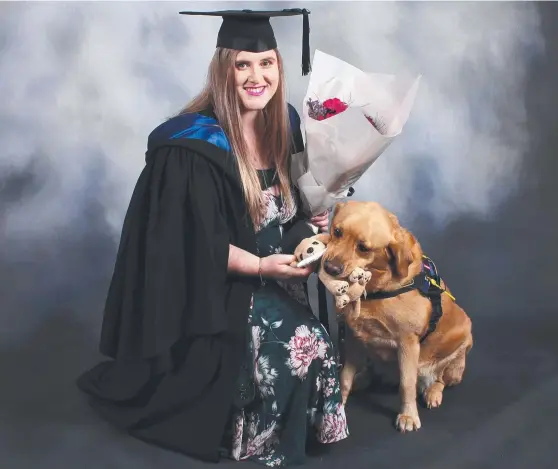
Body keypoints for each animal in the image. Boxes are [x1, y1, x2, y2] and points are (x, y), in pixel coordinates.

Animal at [322, 200, 474, 432]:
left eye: (363, 248)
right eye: (337, 231)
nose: (330, 268)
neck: (375, 288)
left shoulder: (407, 343)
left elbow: (407, 384)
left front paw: (408, 415)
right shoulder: (353, 335)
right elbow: (345, 376)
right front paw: (340, 400)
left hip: (459, 353)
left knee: (439, 380)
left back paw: (432, 393)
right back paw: (363, 378)